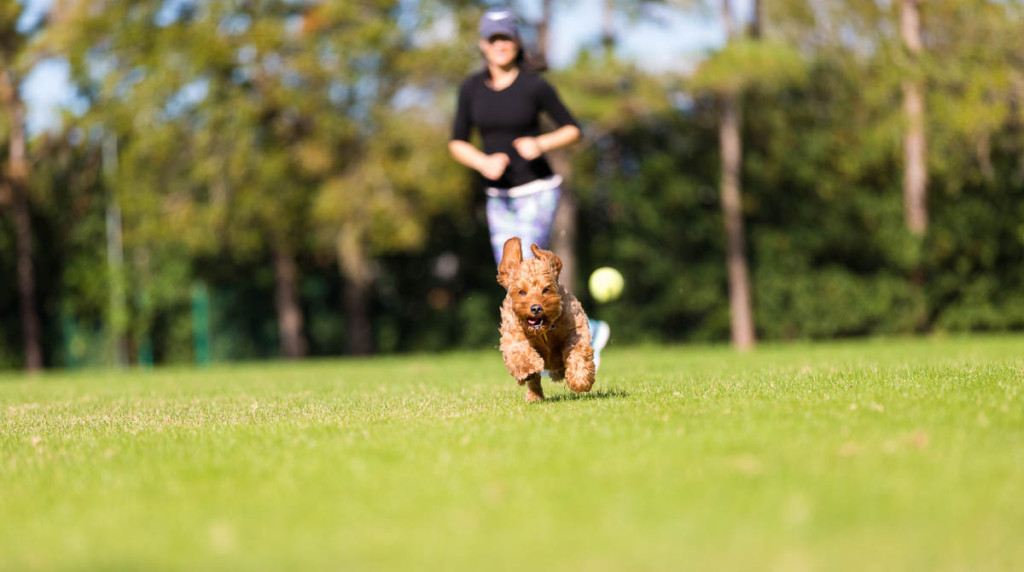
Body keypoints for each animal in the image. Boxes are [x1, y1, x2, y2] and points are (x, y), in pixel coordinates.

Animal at [493, 237, 593, 403]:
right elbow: (519, 350)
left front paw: (580, 380)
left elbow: (578, 351)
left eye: (546, 289)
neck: (544, 331)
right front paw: (527, 369)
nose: (536, 308)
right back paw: (534, 396)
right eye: (521, 291)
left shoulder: (576, 328)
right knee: (535, 381)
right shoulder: (512, 333)